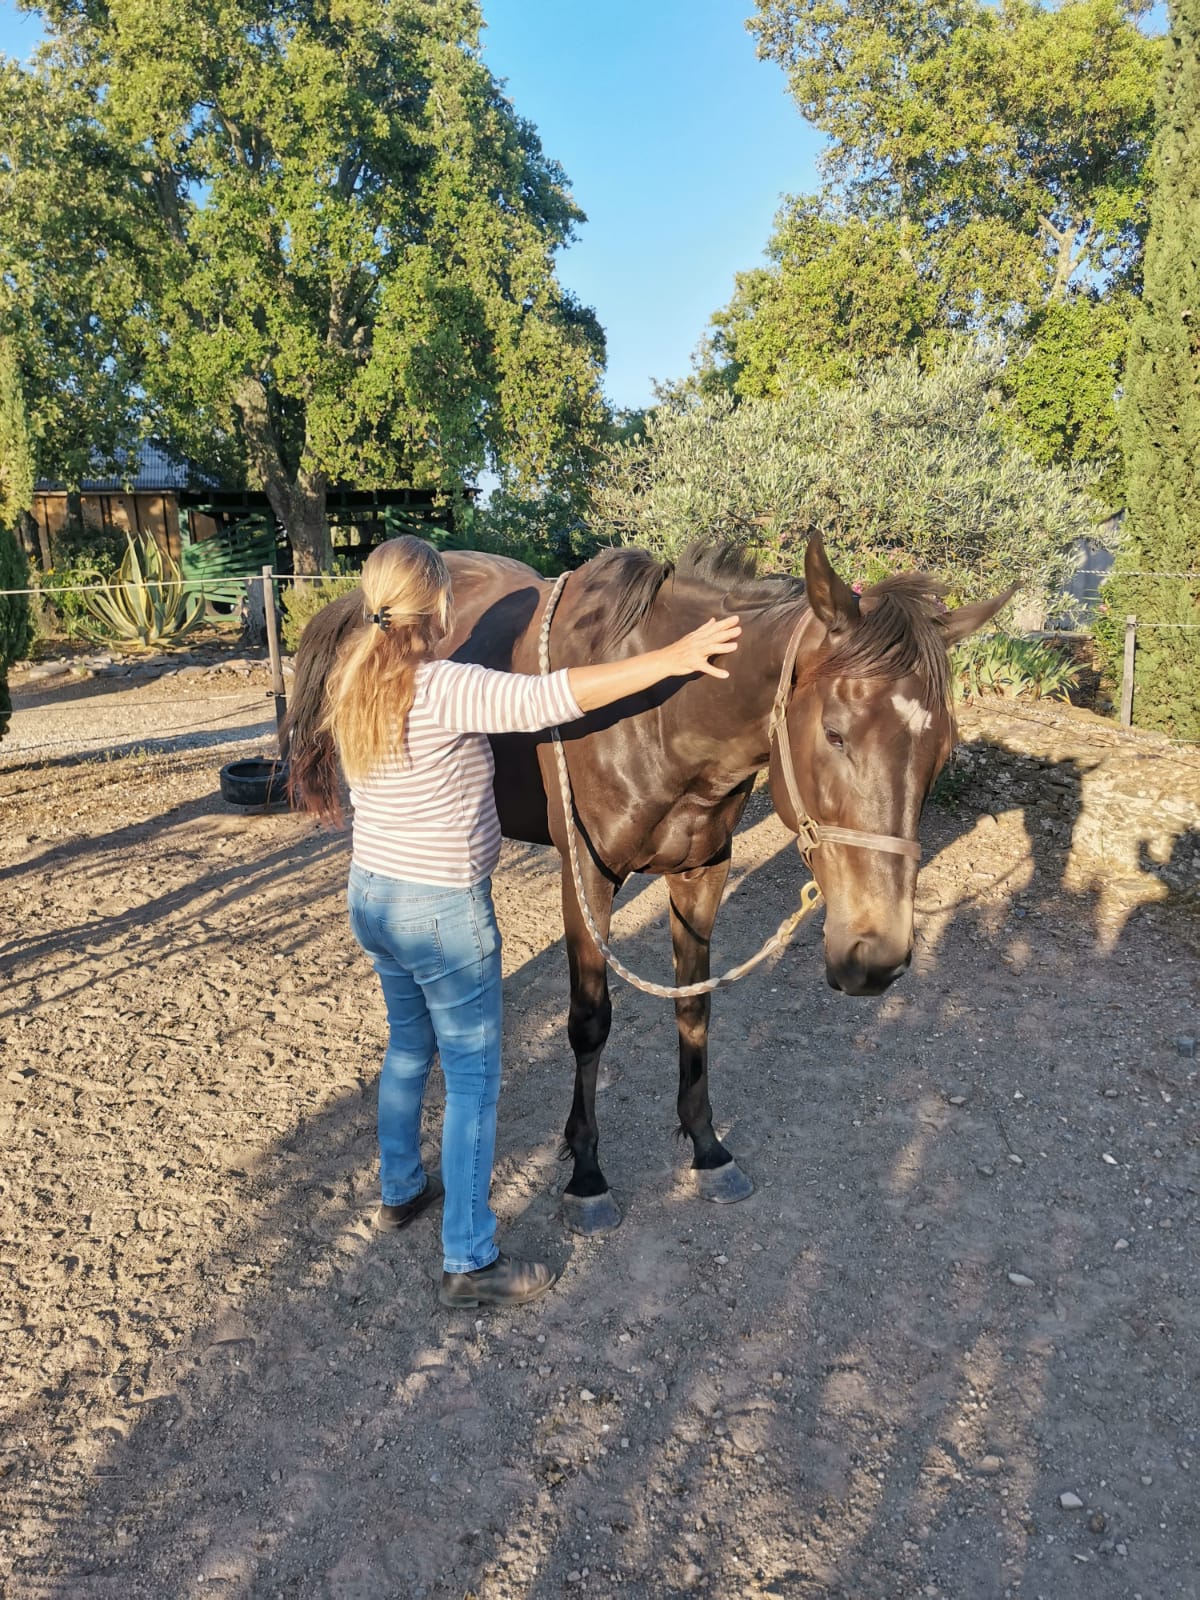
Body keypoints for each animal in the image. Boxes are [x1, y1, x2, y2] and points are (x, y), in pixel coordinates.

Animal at [291, 537, 1017, 1235]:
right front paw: (586, 1175)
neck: (655, 716)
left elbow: (693, 1009)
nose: (876, 958)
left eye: (942, 752)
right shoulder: (586, 877)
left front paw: (707, 1148)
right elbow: (589, 1022)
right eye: (835, 733)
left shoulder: (703, 872)